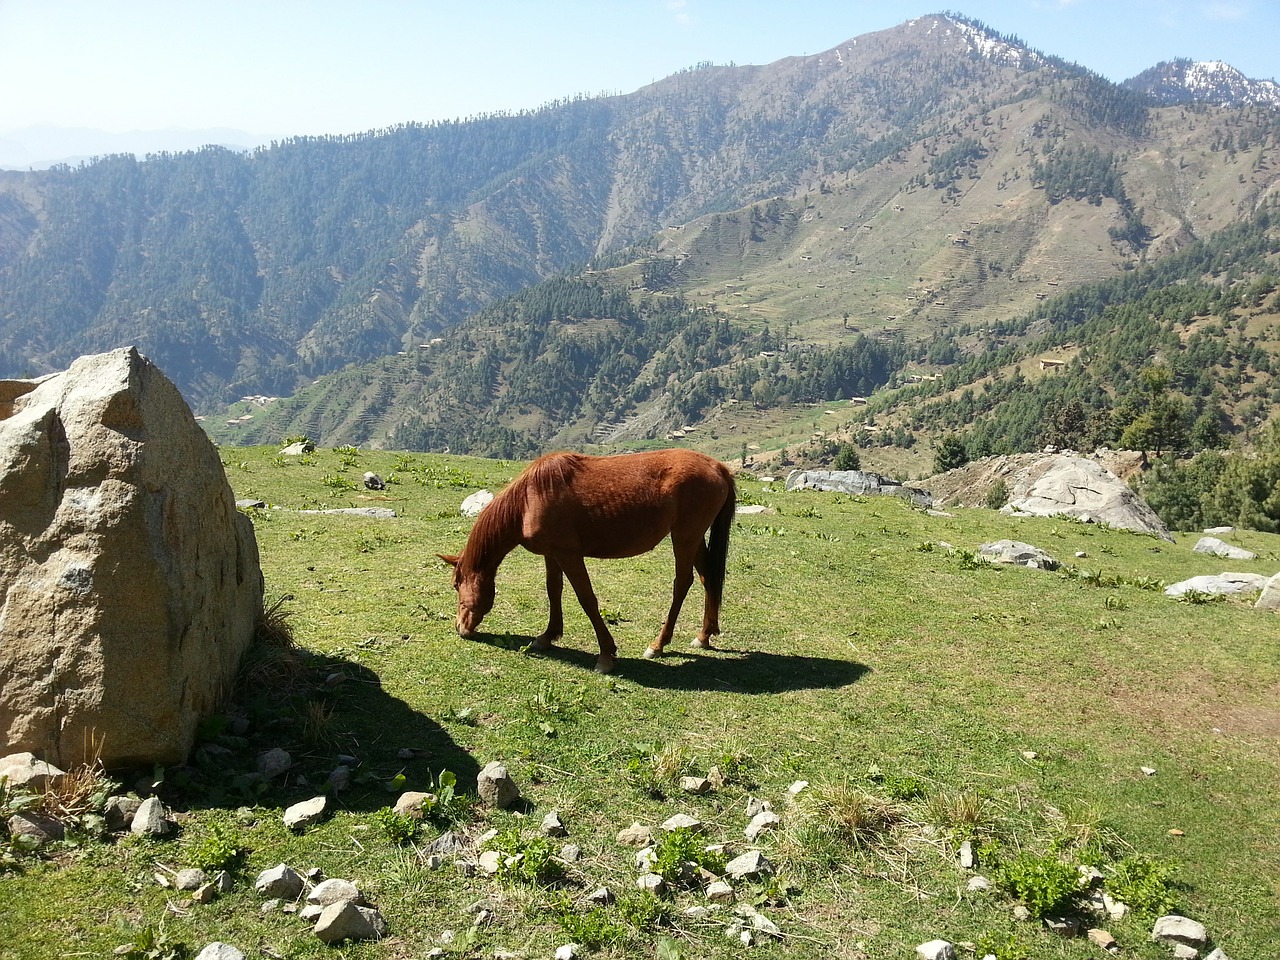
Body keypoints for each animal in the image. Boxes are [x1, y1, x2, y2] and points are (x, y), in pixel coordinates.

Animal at [440, 448, 737, 670]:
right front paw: (547, 637)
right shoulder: (552, 554)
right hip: (694, 538)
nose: (460, 627)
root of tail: (718, 467)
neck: (529, 497)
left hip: (685, 537)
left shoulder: (569, 555)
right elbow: (554, 590)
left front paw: (606, 655)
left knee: (682, 583)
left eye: (456, 585)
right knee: (708, 577)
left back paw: (658, 644)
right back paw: (704, 636)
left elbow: (586, 598)